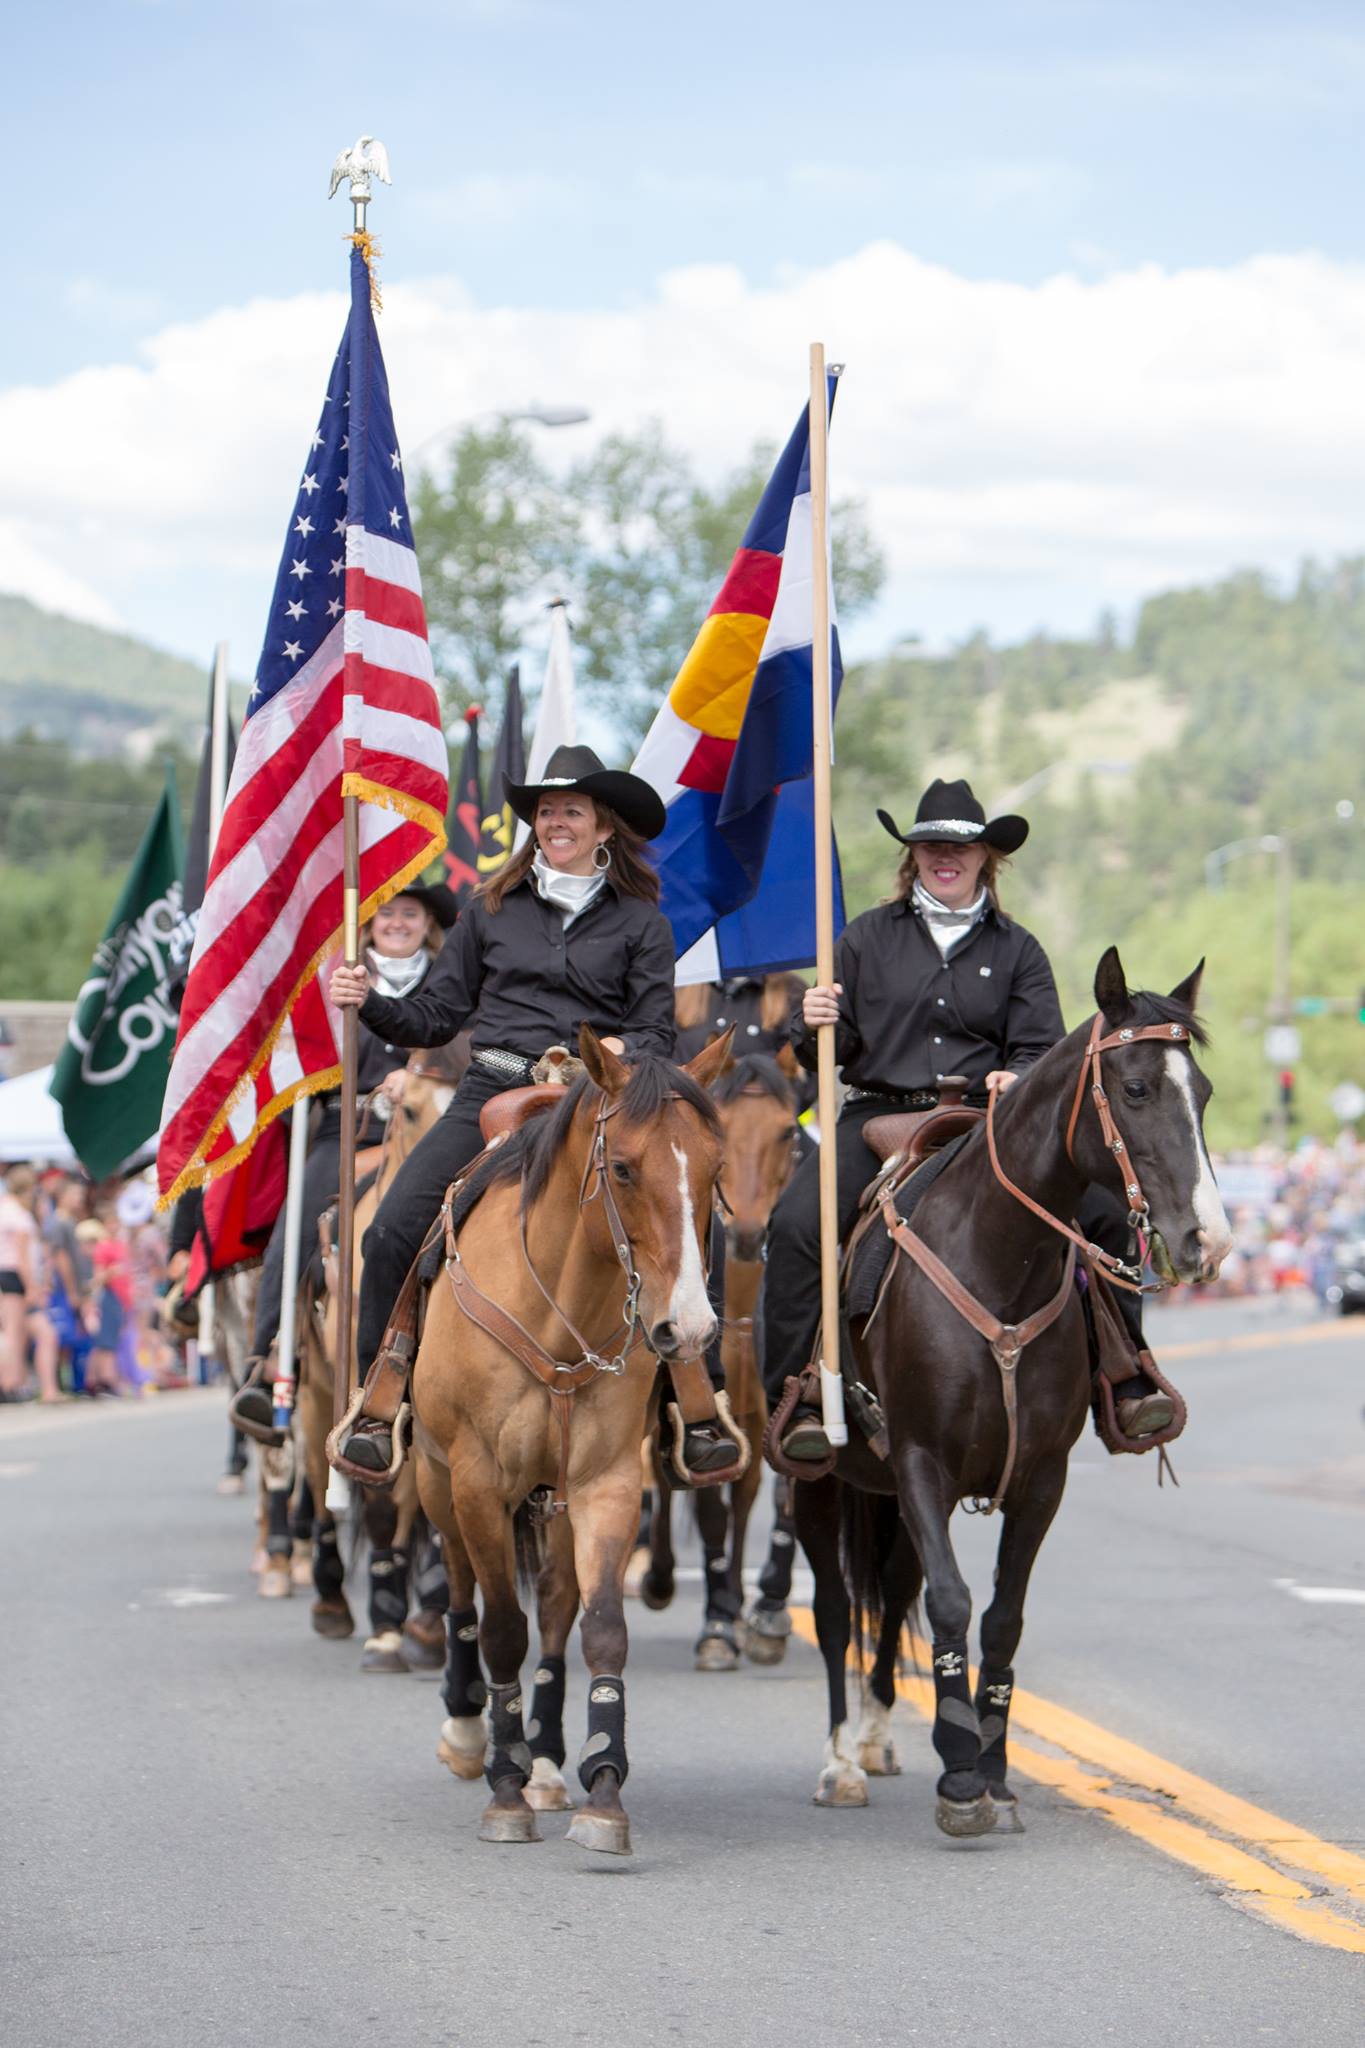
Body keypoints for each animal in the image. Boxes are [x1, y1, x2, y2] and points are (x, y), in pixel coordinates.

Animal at [294, 1040, 470, 1662]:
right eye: (411, 1109)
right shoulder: (363, 1394)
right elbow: (373, 1495)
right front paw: (389, 1617)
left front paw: (426, 1613)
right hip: (313, 1392)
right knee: (317, 1485)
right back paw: (329, 1599)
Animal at [417, 1032, 736, 1851]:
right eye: (621, 1167)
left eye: (714, 1170)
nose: (688, 1329)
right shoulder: (476, 1481)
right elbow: (501, 1628)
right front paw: (503, 1787)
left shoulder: (607, 1482)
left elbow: (602, 1628)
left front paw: (602, 1787)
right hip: (437, 1483)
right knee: (460, 1591)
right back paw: (469, 1732)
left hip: (551, 1496)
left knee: (559, 1602)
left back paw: (546, 1762)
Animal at [785, 958, 1236, 1843]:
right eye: (1135, 1088)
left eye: (1200, 1092)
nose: (1208, 1242)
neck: (997, 1255)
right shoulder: (920, 1462)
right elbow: (952, 1600)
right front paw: (959, 1776)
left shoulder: (1038, 1478)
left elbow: (999, 1616)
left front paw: (991, 1773)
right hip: (817, 1480)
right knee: (832, 1609)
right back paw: (839, 1761)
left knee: (891, 1592)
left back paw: (878, 1736)